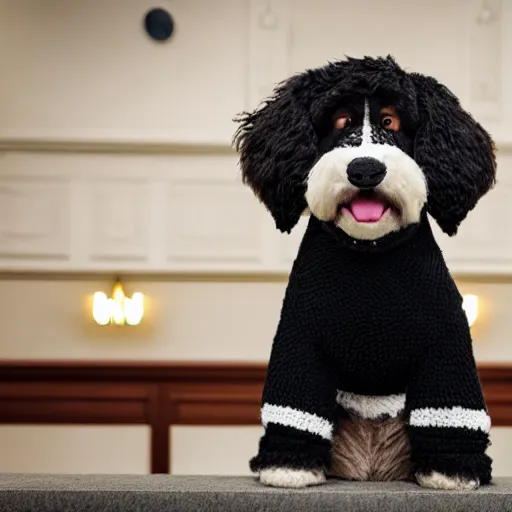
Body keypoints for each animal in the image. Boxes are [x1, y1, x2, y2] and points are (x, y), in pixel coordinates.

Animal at [235, 54, 496, 490]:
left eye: (391, 121)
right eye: (341, 121)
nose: (365, 169)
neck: (370, 251)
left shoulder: (446, 349)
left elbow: (450, 413)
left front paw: (451, 471)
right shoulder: (299, 345)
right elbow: (296, 410)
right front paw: (289, 466)